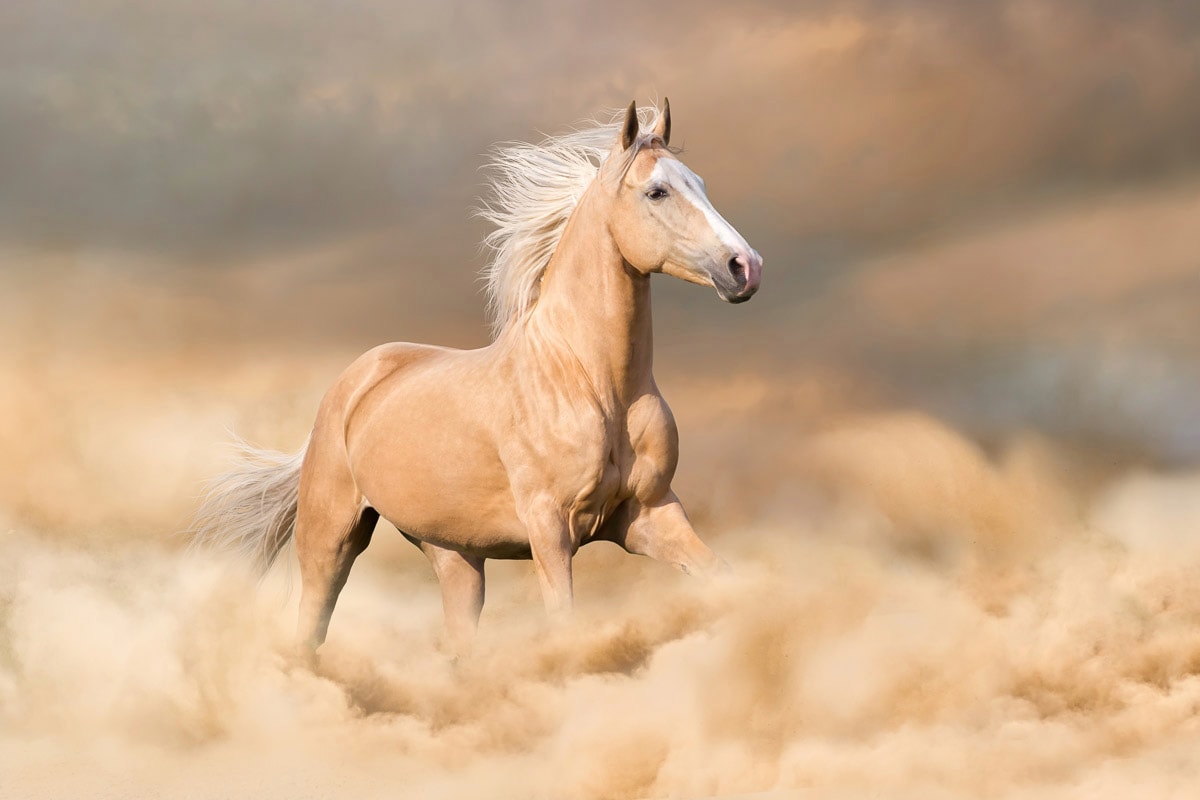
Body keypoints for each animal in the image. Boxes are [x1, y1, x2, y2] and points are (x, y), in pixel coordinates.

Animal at [192, 100, 763, 652]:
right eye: (656, 191)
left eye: (700, 183)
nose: (745, 267)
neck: (593, 383)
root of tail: (353, 383)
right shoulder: (550, 528)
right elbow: (565, 624)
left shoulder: (649, 515)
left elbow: (726, 578)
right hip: (330, 539)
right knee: (310, 629)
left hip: (453, 553)